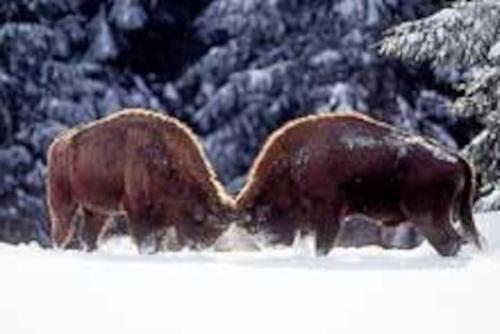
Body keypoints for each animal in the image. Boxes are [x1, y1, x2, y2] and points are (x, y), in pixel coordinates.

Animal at [47, 108, 234, 252]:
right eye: (201, 226)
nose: (196, 247)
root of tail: (58, 144)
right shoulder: (138, 208)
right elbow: (145, 238)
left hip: (97, 209)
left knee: (89, 234)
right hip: (63, 202)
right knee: (62, 228)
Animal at [236, 111, 482, 256]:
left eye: (260, 219)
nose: (269, 243)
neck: (292, 165)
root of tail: (457, 158)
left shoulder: (329, 214)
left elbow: (323, 245)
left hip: (427, 216)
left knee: (450, 241)